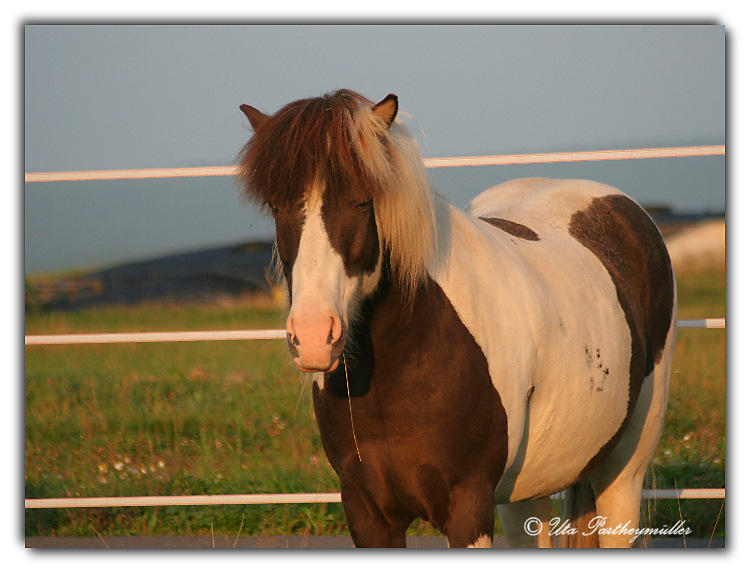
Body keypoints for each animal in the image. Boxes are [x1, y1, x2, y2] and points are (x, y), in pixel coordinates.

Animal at [238, 89, 680, 544]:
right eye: (276, 206)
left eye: (362, 200)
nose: (312, 337)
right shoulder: (367, 514)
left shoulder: (468, 508)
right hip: (526, 492)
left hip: (624, 472)